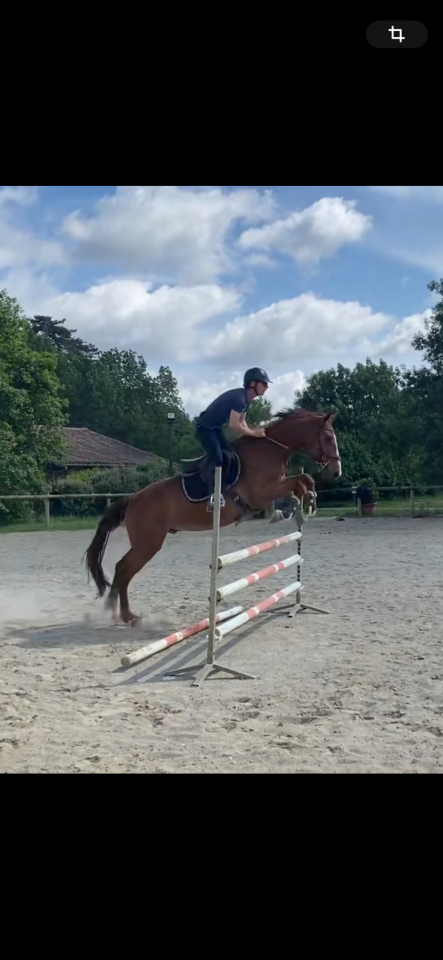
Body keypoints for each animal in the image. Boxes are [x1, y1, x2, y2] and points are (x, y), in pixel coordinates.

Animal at [85, 409, 341, 624]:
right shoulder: (260, 493)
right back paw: (123, 615)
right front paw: (300, 505)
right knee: (123, 569)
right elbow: (299, 481)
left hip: (145, 543)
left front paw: (305, 503)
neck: (270, 451)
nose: (336, 472)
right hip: (148, 544)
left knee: (122, 569)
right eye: (329, 438)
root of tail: (132, 499)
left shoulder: (275, 486)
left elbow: (304, 480)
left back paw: (120, 612)